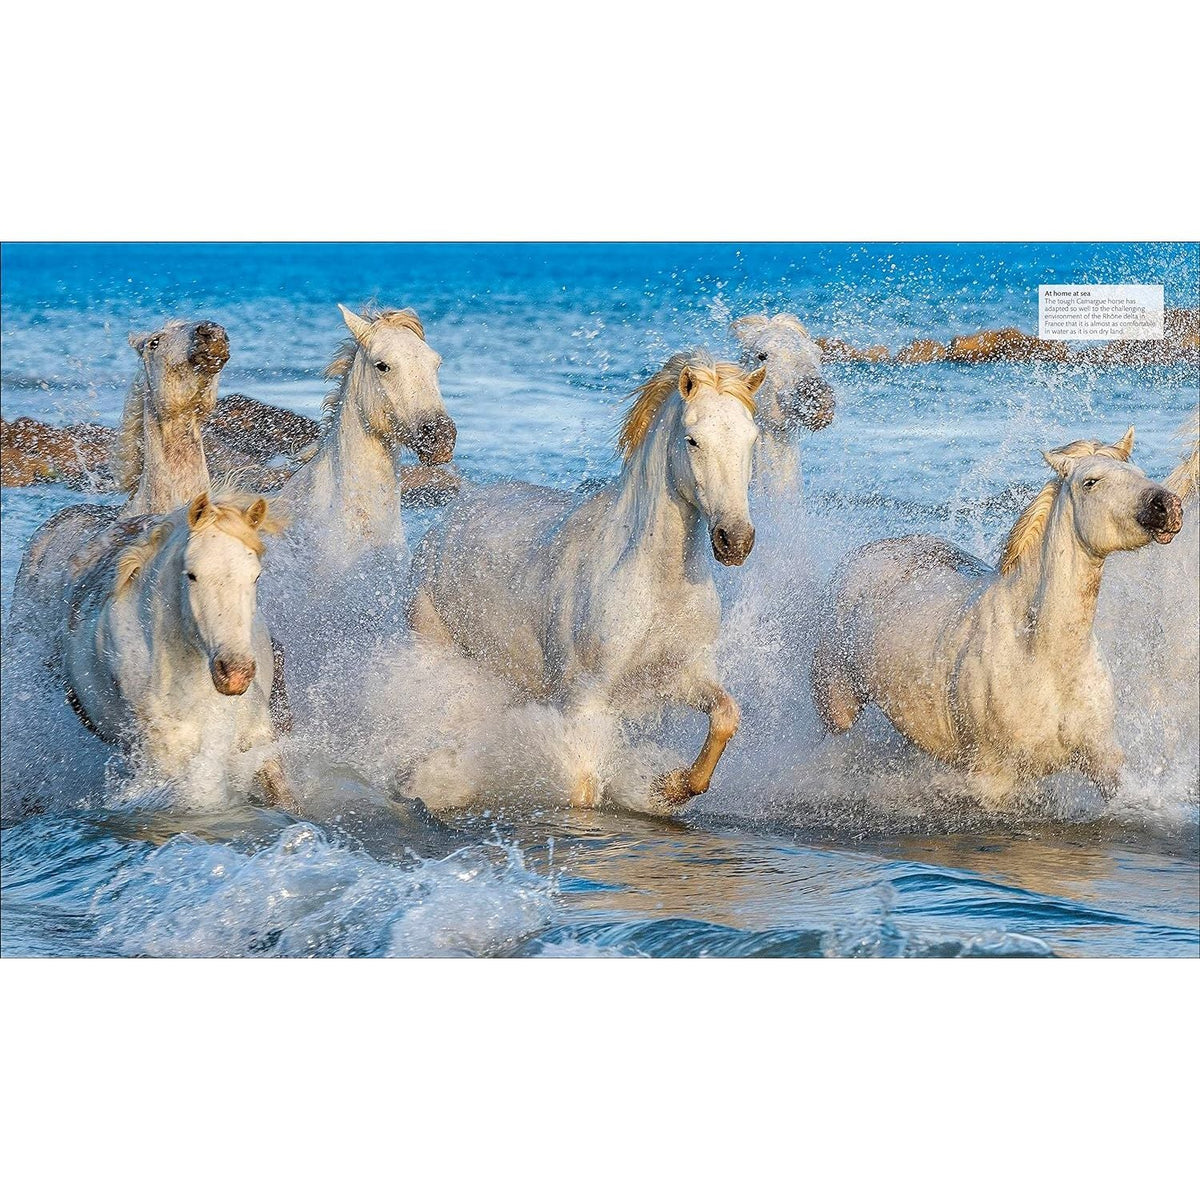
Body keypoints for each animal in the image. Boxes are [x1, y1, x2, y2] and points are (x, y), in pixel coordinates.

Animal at [408, 350, 766, 813]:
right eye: (693, 440)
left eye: (752, 439)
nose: (735, 541)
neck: (654, 582)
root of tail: (456, 510)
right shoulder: (585, 700)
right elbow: (582, 788)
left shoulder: (682, 674)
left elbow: (725, 716)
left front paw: (667, 785)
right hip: (436, 649)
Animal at [810, 427, 1184, 807]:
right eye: (1090, 482)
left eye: (1138, 472)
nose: (1167, 506)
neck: (1043, 654)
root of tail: (863, 555)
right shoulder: (993, 779)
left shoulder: (1103, 759)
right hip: (837, 706)